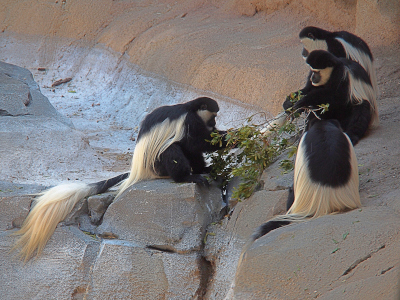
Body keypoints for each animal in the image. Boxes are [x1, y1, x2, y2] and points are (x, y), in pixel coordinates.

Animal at [12, 96, 227, 260]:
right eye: (214, 115)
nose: (214, 124)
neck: (190, 108)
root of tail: (138, 171)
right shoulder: (189, 121)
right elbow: (196, 143)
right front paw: (229, 138)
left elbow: (195, 146)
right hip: (157, 164)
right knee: (173, 148)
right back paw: (188, 177)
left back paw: (204, 170)